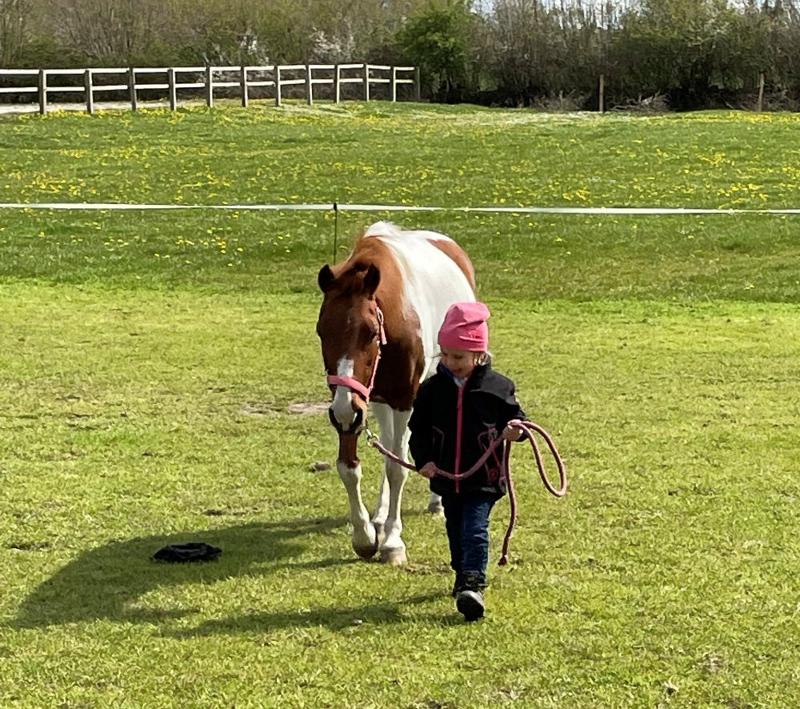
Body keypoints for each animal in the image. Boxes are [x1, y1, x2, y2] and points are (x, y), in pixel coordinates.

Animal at [316, 221, 476, 564]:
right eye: (321, 331)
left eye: (370, 332)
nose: (344, 408)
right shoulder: (357, 404)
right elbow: (349, 467)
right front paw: (365, 535)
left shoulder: (403, 399)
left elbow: (397, 466)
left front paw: (391, 542)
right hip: (377, 401)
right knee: (389, 441)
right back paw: (380, 513)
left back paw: (435, 502)